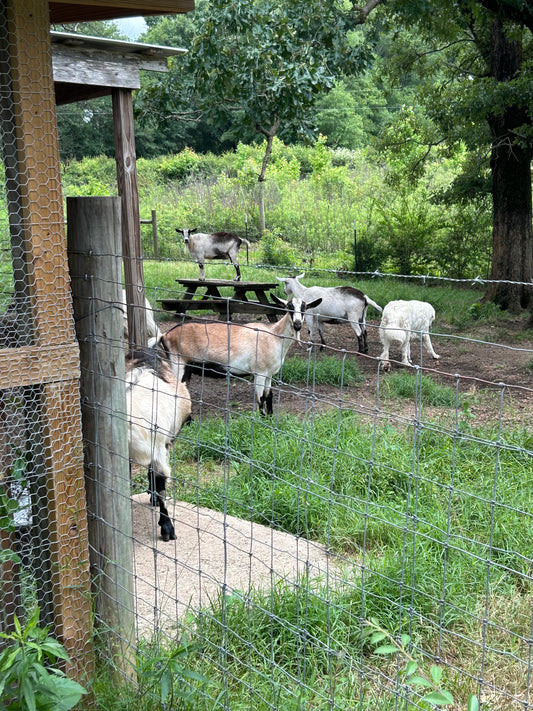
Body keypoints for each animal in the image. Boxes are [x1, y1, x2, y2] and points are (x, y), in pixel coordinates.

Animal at [157, 294, 322, 416]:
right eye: (289, 307)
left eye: (304, 308)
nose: (298, 325)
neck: (274, 336)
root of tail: (166, 335)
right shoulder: (260, 372)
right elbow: (260, 399)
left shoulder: (269, 374)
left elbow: (269, 395)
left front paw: (270, 418)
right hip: (178, 363)